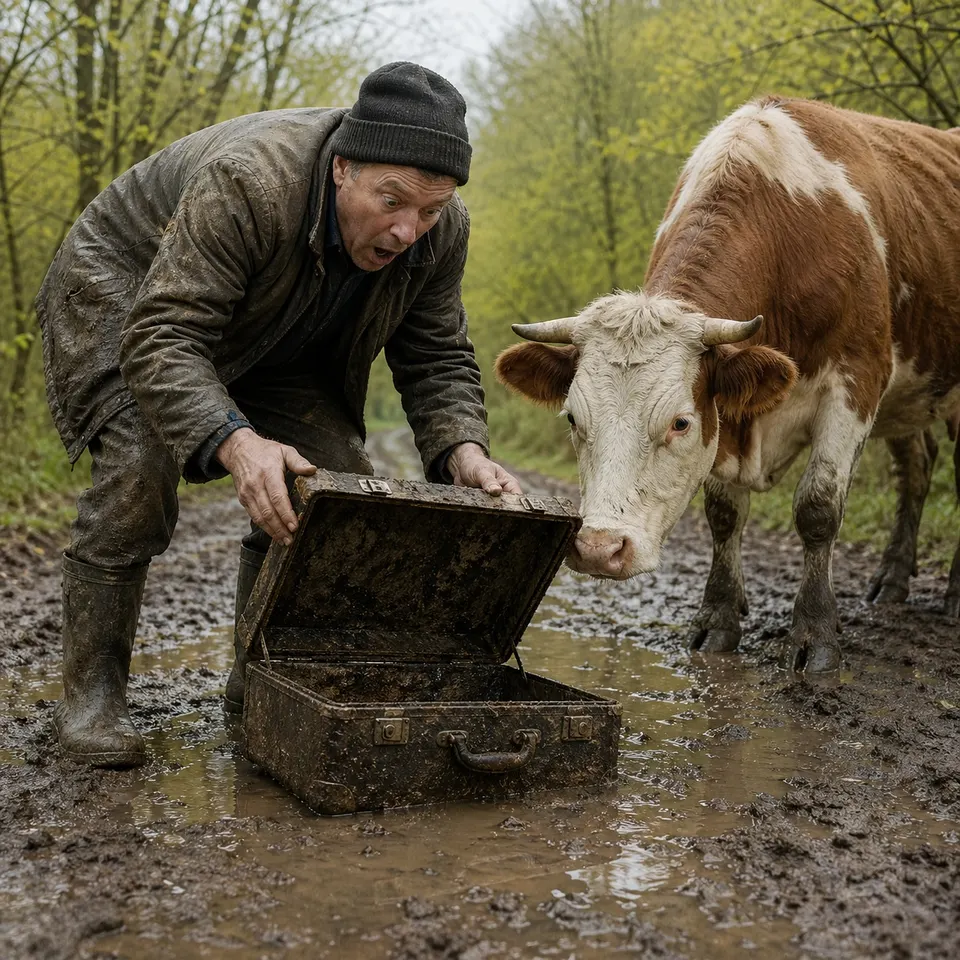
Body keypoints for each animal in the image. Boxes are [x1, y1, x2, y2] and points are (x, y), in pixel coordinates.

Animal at [495, 97, 960, 673]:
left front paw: (815, 634)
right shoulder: (729, 416)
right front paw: (717, 617)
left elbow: (818, 508)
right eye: (573, 418)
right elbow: (722, 515)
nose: (600, 547)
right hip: (909, 400)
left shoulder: (857, 379)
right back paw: (892, 579)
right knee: (916, 469)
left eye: (680, 422)